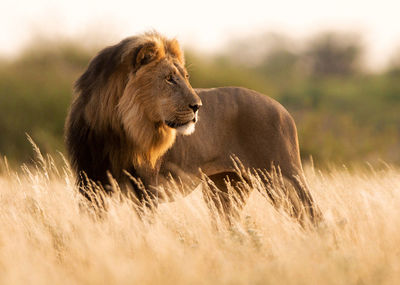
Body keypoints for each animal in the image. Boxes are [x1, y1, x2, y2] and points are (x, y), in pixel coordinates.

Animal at [65, 31, 322, 224]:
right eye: (169, 78)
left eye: (185, 77)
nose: (198, 106)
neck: (117, 129)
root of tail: (283, 109)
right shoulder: (90, 184)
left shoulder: (146, 187)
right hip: (225, 189)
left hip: (282, 177)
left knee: (313, 217)